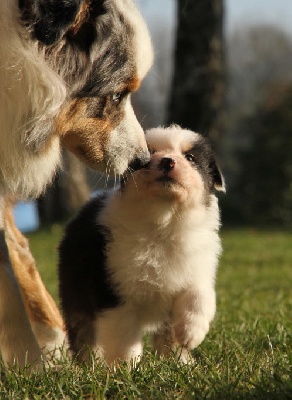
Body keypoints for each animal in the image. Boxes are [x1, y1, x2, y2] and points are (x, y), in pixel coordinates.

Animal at [58, 126, 225, 366]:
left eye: (190, 158)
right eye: (150, 153)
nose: (168, 161)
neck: (163, 221)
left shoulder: (197, 267)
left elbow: (200, 297)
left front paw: (190, 334)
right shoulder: (114, 289)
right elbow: (124, 335)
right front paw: (127, 367)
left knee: (166, 334)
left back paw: (180, 361)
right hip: (76, 292)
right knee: (83, 333)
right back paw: (89, 365)